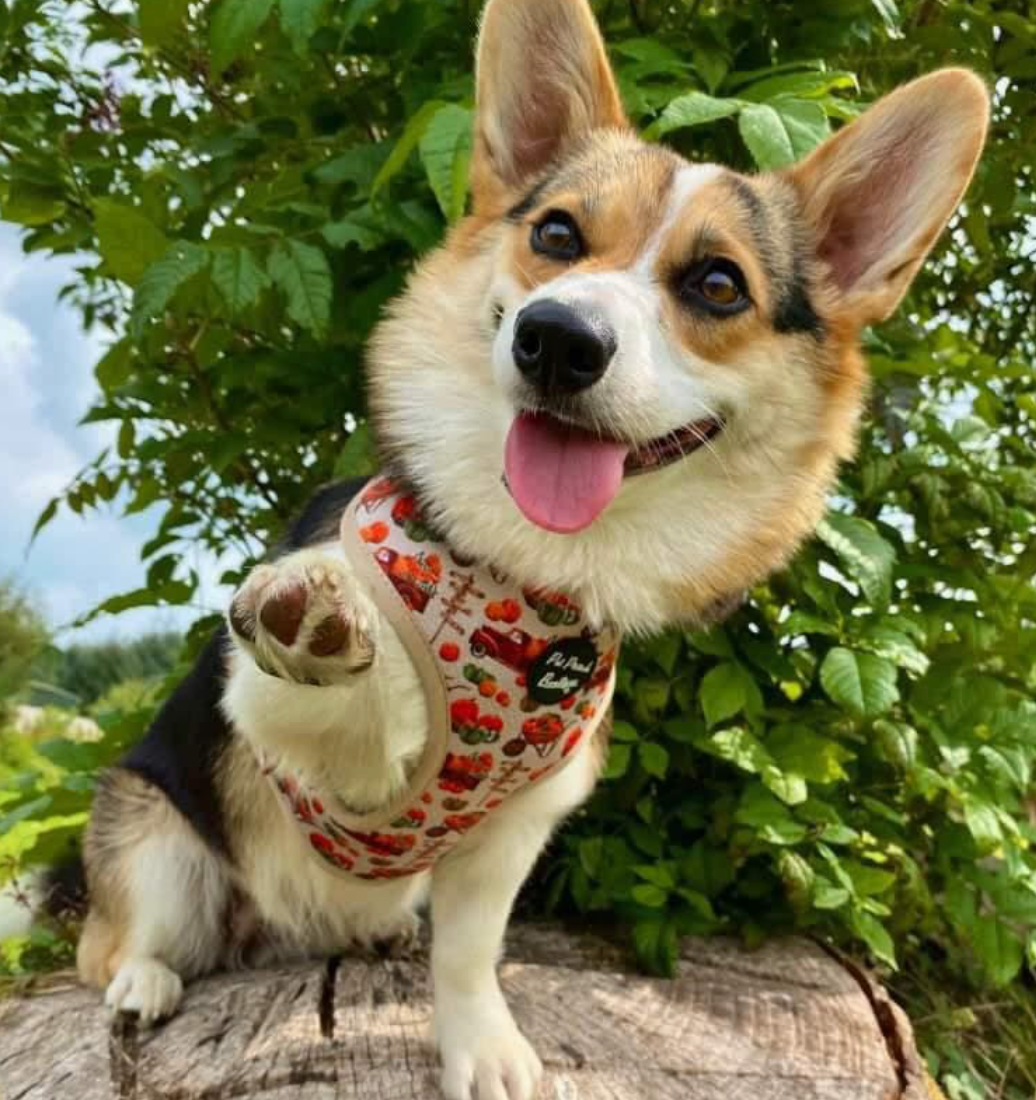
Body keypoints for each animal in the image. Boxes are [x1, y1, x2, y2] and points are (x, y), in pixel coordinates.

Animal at [74, 2, 989, 1100]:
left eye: (717, 284)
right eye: (557, 233)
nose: (557, 338)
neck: (513, 574)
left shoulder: (512, 830)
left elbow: (469, 953)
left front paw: (484, 1047)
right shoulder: (274, 730)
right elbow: (338, 699)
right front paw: (321, 610)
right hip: (150, 828)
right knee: (117, 938)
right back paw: (146, 978)